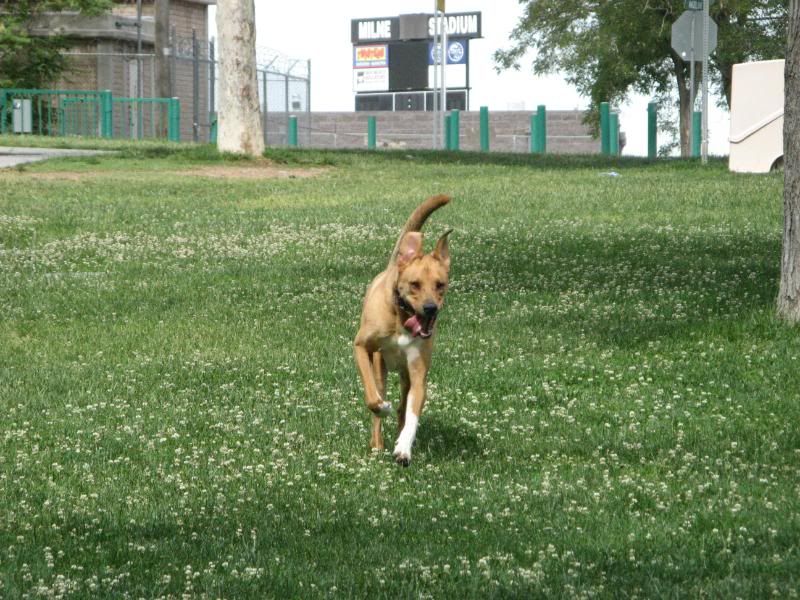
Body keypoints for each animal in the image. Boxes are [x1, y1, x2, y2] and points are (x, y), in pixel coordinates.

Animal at [354, 195, 454, 466]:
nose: (430, 308)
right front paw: (381, 407)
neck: (402, 318)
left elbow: (412, 414)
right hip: (380, 365)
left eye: (440, 284)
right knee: (379, 396)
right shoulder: (361, 347)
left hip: (405, 375)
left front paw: (403, 448)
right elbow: (372, 397)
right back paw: (377, 443)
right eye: (414, 284)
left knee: (402, 408)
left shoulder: (418, 372)